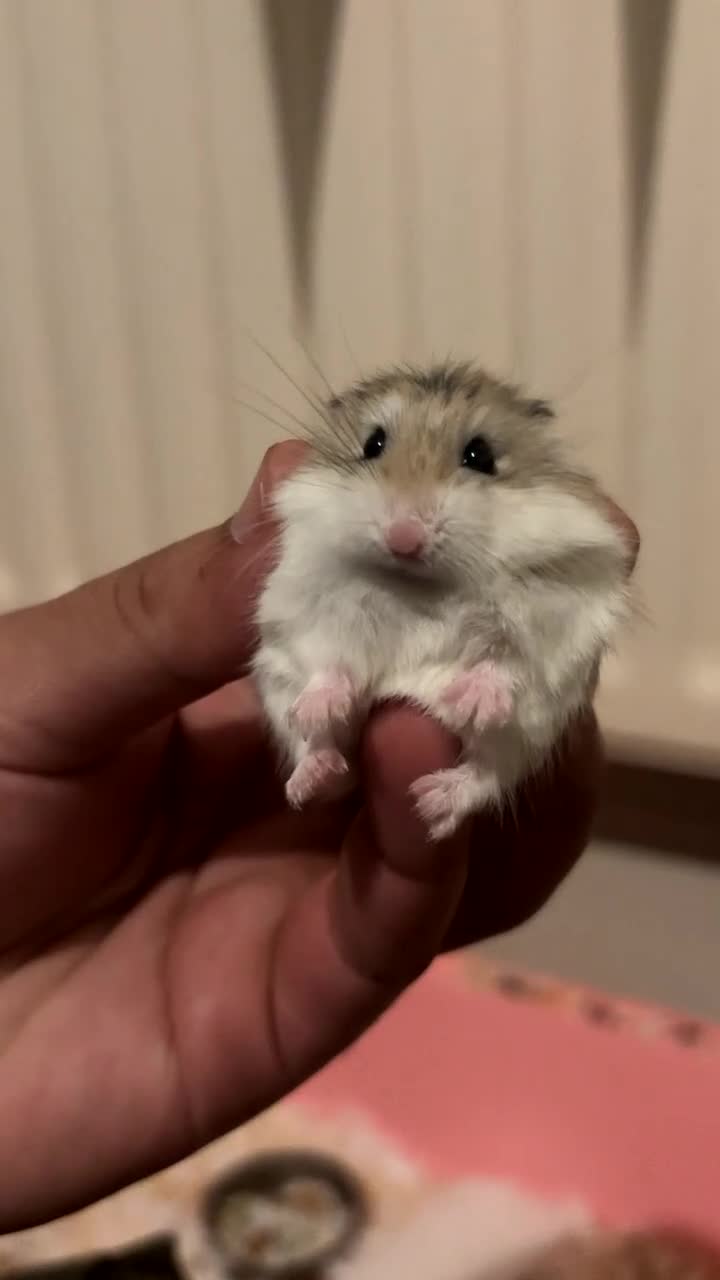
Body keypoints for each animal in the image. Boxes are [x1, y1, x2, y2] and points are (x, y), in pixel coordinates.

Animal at [252, 360, 631, 840]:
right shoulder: (312, 610)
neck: (421, 586)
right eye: (372, 444)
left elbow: (509, 659)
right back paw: (313, 777)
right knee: (323, 757)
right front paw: (320, 707)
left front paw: (471, 701)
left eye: (480, 456)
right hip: (277, 687)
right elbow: (328, 662)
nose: (404, 539)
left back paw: (432, 803)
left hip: (530, 736)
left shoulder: (557, 611)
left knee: (487, 774)